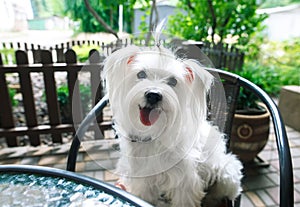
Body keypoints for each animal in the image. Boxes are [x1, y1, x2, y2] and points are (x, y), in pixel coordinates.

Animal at [103, 41, 244, 206]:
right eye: (141, 74)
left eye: (173, 81)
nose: (153, 95)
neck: (154, 133)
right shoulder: (143, 180)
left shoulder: (185, 183)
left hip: (226, 174)